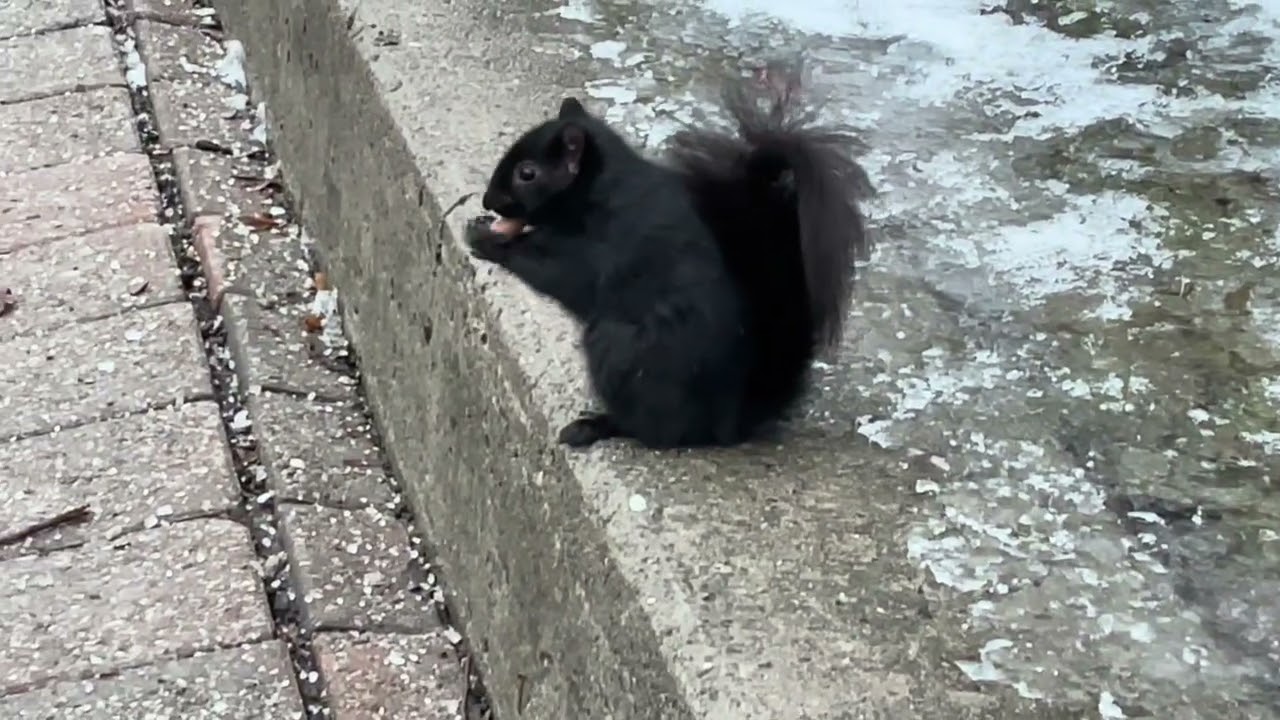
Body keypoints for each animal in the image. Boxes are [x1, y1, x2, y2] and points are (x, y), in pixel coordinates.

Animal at [465, 59, 874, 450]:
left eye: (527, 173)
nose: (488, 200)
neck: (599, 190)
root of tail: (728, 423)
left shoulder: (603, 249)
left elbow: (556, 270)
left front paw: (486, 238)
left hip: (622, 350)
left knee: (659, 431)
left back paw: (598, 426)